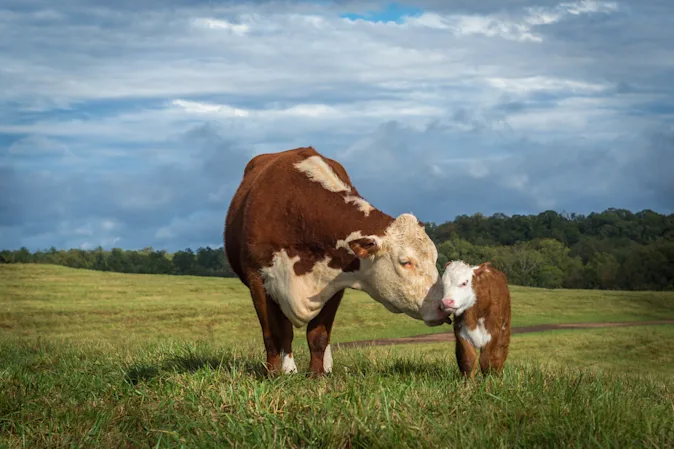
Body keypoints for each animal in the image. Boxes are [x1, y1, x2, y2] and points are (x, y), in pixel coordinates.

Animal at [224, 146, 448, 376]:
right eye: (405, 262)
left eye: (434, 258)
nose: (443, 305)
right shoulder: (258, 280)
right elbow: (274, 333)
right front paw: (274, 374)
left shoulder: (334, 282)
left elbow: (319, 334)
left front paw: (316, 374)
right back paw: (288, 369)